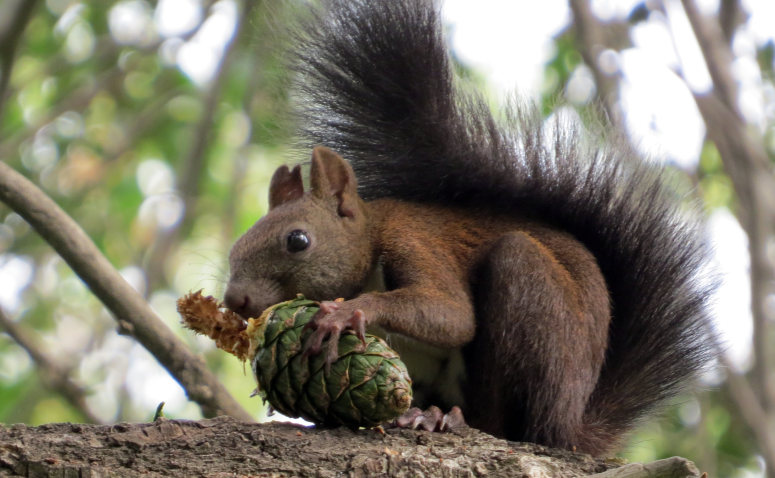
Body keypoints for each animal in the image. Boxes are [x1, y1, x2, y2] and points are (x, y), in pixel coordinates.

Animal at [223, 0, 716, 456]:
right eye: (235, 249)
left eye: (298, 240)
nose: (235, 300)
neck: (371, 241)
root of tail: (571, 426)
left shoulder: (416, 242)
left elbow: (452, 313)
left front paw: (349, 312)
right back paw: (420, 413)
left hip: (529, 298)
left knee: (500, 420)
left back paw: (452, 419)